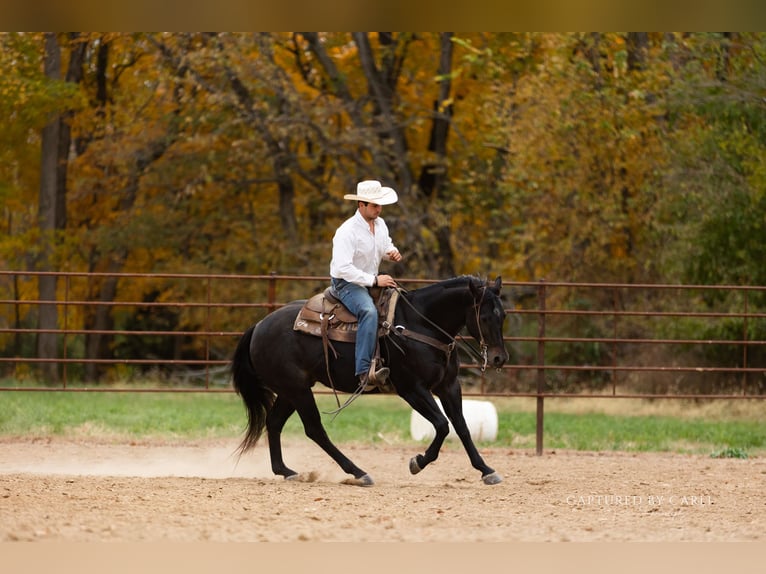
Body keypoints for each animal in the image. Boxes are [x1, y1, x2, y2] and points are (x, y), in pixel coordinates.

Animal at [230, 275, 509, 486]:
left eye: (503, 316)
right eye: (484, 317)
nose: (499, 358)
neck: (420, 324)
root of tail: (259, 325)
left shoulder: (448, 386)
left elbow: (462, 427)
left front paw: (486, 469)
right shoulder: (412, 389)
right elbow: (442, 425)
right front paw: (417, 462)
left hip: (291, 390)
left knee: (274, 422)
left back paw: (286, 471)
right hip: (297, 389)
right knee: (314, 429)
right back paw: (358, 472)